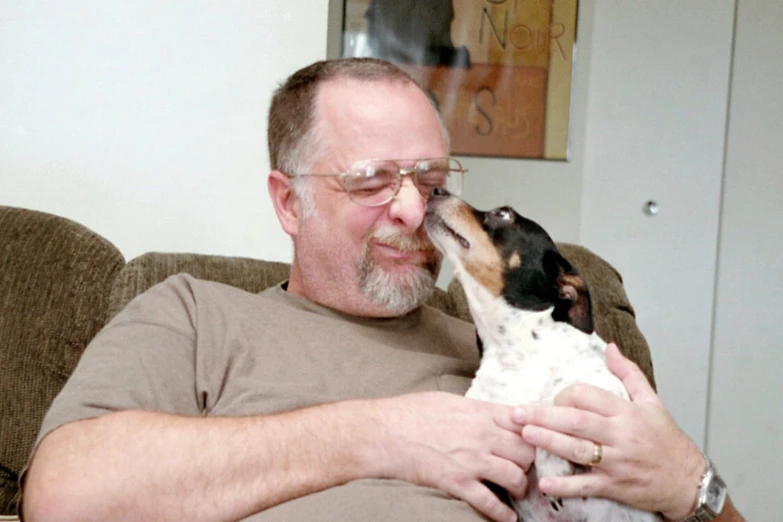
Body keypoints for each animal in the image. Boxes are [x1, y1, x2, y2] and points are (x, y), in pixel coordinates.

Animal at [426, 187, 660, 520]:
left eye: (503, 214)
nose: (435, 189)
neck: (516, 350)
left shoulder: (610, 388)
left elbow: (558, 392)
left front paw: (552, 463)